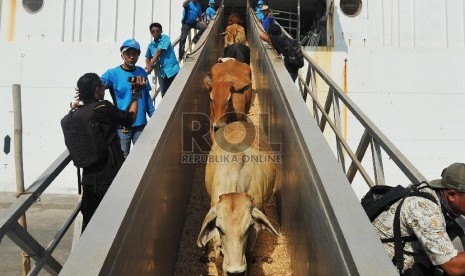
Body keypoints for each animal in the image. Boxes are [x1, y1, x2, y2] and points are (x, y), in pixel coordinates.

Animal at [197, 122, 278, 276]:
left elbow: (250, 254)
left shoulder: (253, 233)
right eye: (219, 228)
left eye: (248, 227)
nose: (235, 271)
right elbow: (218, 259)